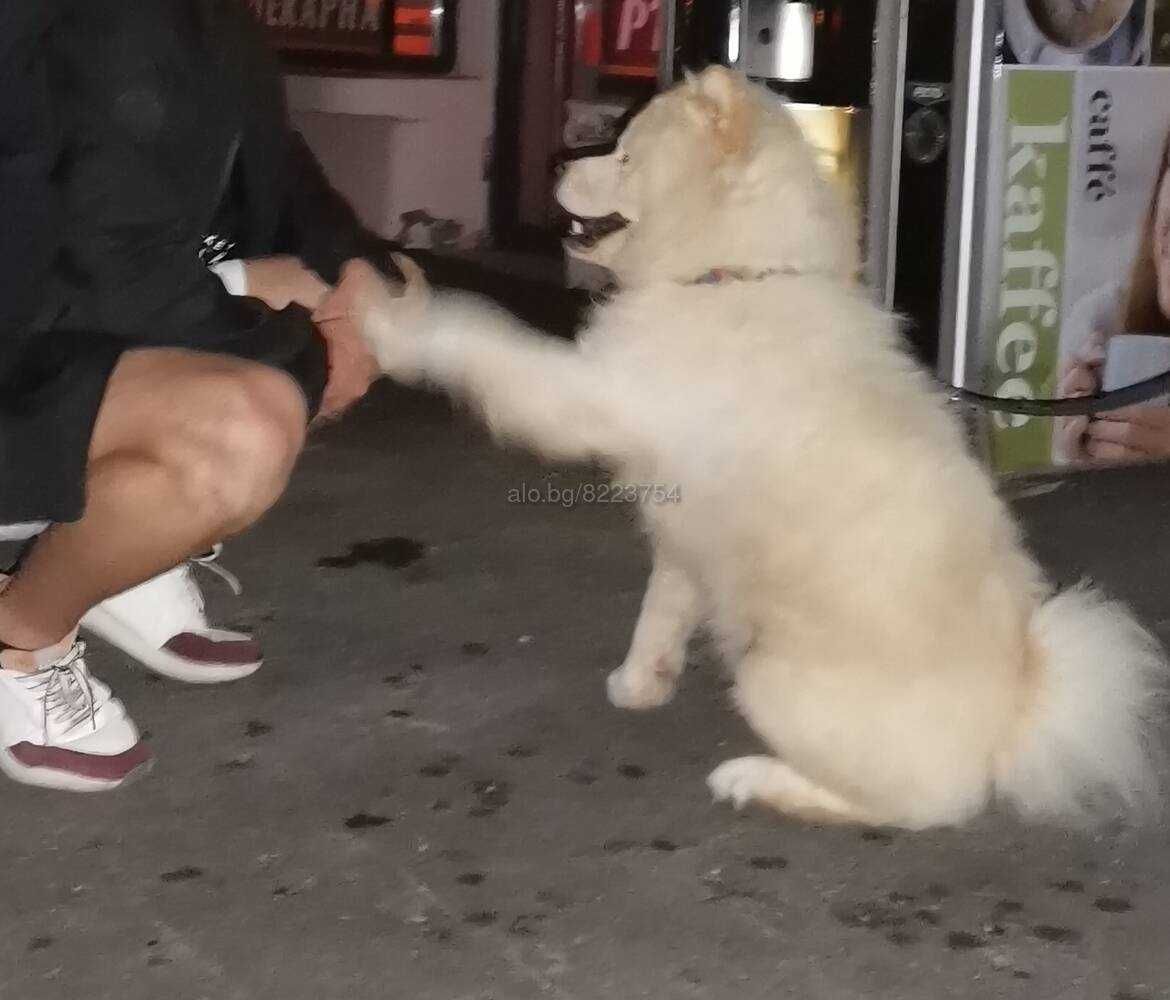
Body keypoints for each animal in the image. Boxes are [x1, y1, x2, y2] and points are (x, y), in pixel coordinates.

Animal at [341, 68, 1165, 828]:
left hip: (771, 677)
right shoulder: (683, 525)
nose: (553, 164)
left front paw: (399, 324)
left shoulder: (593, 397)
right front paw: (640, 682)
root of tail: (1014, 715)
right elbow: (662, 607)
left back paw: (756, 780)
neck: (727, 276)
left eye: (625, 155)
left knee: (915, 807)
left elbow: (483, 339)